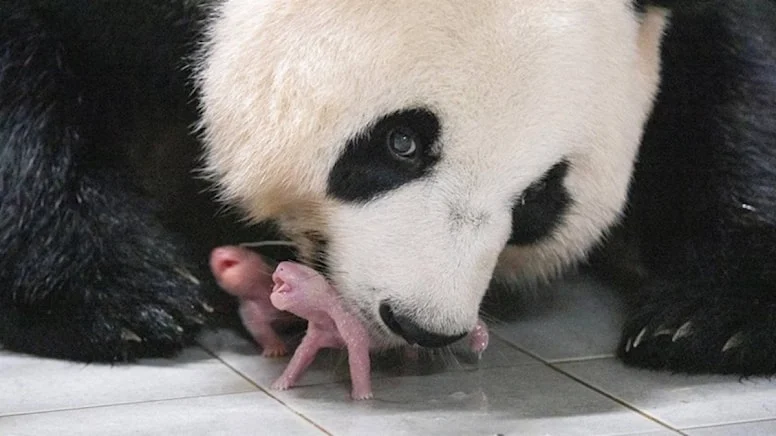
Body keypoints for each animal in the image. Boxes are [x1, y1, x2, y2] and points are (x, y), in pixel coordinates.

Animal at [1, 0, 775, 376]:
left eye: (539, 199)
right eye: (401, 142)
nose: (422, 324)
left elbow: (736, 75)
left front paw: (711, 320)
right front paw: (119, 296)